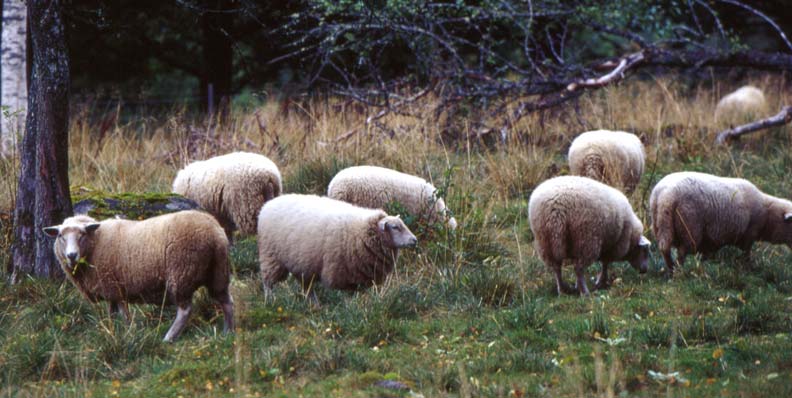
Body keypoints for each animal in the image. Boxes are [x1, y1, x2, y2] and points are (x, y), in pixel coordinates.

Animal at [43, 211, 234, 342]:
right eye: (60, 236)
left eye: (82, 234)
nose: (71, 255)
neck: (96, 242)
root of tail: (215, 233)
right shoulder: (110, 289)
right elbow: (111, 314)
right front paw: (112, 331)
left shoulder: (115, 286)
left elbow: (124, 314)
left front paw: (129, 333)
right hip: (218, 272)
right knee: (226, 302)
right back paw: (227, 332)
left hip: (181, 273)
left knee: (185, 310)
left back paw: (168, 338)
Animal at [260, 194, 420, 302]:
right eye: (395, 227)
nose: (414, 240)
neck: (361, 231)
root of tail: (268, 204)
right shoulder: (341, 272)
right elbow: (347, 296)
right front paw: (350, 308)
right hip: (271, 257)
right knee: (268, 282)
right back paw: (270, 301)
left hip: (303, 263)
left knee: (307, 287)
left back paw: (314, 304)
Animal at [648, 171, 792, 274]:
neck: (767, 215)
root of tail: (665, 196)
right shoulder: (747, 235)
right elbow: (746, 254)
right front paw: (747, 268)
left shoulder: (712, 239)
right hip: (690, 227)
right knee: (682, 251)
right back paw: (679, 271)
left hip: (661, 224)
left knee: (664, 248)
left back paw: (671, 269)